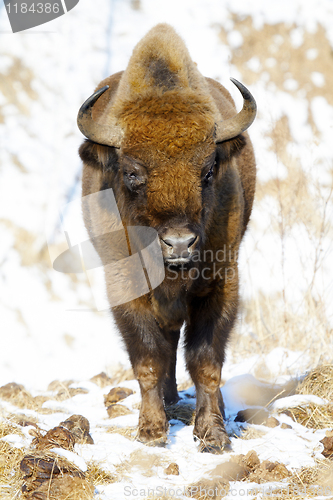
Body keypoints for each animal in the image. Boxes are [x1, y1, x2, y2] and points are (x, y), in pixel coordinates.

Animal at [76, 23, 255, 454]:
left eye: (208, 171)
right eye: (132, 173)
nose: (178, 244)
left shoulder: (221, 283)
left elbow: (206, 360)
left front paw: (213, 435)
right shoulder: (125, 288)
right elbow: (148, 358)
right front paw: (152, 431)